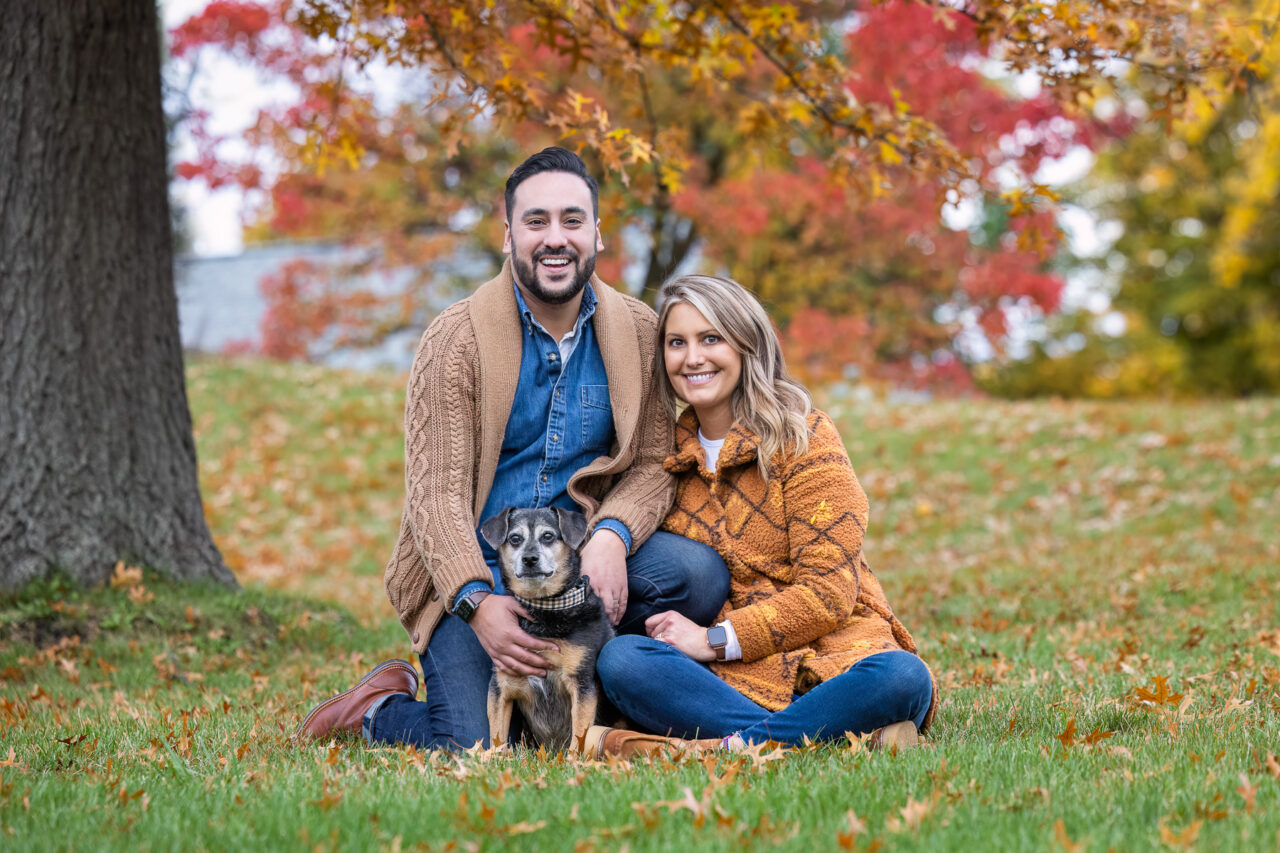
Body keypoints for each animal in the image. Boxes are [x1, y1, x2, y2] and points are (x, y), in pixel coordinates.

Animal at [481, 504, 616, 753]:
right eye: (515, 539)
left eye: (548, 536)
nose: (530, 559)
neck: (543, 607)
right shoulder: (500, 684)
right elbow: (497, 735)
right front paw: (492, 757)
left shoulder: (582, 684)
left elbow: (579, 736)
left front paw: (573, 759)